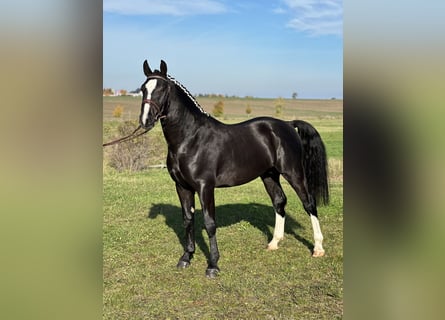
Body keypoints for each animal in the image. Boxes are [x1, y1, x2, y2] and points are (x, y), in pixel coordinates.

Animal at [140, 60, 330, 278]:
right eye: (143, 89)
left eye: (162, 89)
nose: (145, 121)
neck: (190, 139)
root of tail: (288, 125)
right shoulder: (182, 187)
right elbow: (188, 220)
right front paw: (186, 257)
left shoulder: (205, 187)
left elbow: (209, 223)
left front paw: (213, 265)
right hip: (269, 175)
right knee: (279, 202)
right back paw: (274, 243)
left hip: (293, 173)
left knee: (309, 203)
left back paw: (318, 248)